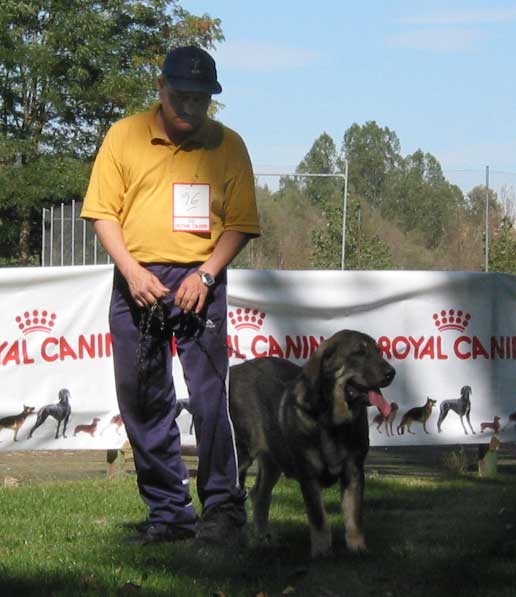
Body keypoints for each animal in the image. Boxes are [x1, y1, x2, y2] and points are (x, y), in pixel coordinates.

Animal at [230, 328, 396, 556]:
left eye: (379, 352)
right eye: (359, 353)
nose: (391, 373)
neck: (333, 421)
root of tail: (235, 369)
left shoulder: (354, 470)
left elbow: (354, 516)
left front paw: (357, 549)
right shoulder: (308, 475)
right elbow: (319, 518)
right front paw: (322, 552)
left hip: (274, 460)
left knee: (259, 495)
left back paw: (264, 539)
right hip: (241, 455)